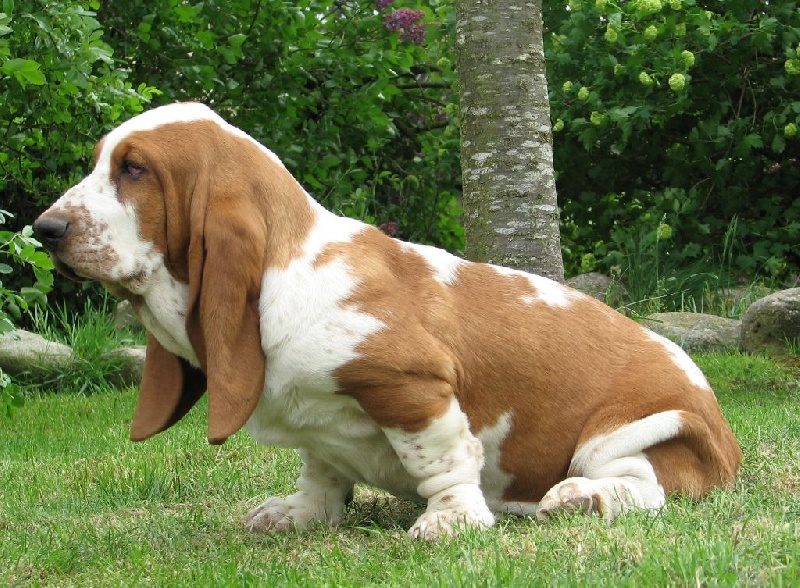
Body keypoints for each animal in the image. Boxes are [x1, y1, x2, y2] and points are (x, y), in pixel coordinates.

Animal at [33, 103, 740, 540]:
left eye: (134, 170)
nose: (44, 229)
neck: (287, 271)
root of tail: (729, 438)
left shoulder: (410, 386)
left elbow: (443, 460)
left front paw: (451, 521)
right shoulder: (318, 429)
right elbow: (321, 468)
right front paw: (301, 512)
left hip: (623, 436)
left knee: (648, 488)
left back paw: (580, 498)